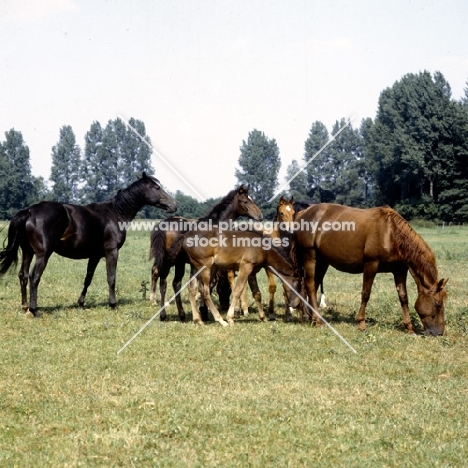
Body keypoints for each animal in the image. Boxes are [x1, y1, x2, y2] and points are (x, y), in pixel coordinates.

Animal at [0, 172, 176, 314]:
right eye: (156, 187)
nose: (173, 205)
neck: (115, 213)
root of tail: (29, 211)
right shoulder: (111, 252)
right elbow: (111, 278)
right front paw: (113, 304)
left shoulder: (95, 256)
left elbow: (88, 278)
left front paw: (81, 303)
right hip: (42, 255)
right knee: (34, 277)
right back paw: (34, 310)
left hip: (28, 252)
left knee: (23, 275)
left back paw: (24, 306)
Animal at [149, 185, 264, 320]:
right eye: (245, 201)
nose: (260, 216)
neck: (216, 222)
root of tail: (162, 225)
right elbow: (207, 285)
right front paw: (204, 311)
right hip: (173, 261)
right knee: (166, 281)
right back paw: (168, 313)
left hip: (174, 261)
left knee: (169, 282)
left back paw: (175, 314)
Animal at [170, 229, 302, 326]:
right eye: (298, 284)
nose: (296, 304)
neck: (262, 248)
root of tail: (185, 236)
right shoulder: (245, 267)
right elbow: (238, 290)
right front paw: (230, 318)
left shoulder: (252, 272)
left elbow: (257, 293)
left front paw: (263, 317)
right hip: (206, 268)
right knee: (205, 291)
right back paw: (220, 320)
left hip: (195, 267)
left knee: (192, 289)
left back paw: (198, 320)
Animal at [294, 203, 448, 334]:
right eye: (437, 304)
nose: (439, 332)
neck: (391, 233)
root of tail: (304, 212)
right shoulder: (371, 264)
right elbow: (366, 293)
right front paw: (361, 323)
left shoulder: (399, 270)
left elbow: (403, 297)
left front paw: (409, 327)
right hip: (310, 257)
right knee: (310, 285)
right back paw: (317, 320)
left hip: (322, 262)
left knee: (313, 285)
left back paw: (310, 316)